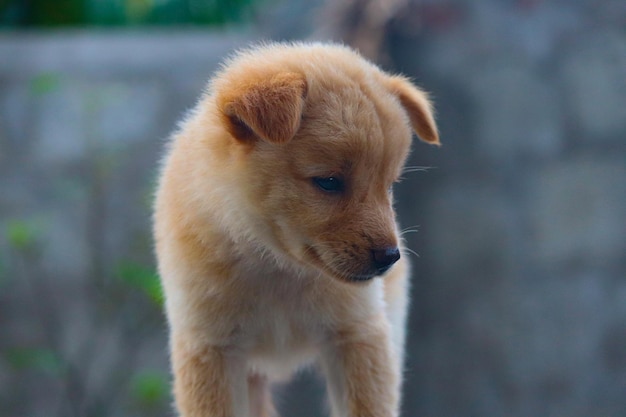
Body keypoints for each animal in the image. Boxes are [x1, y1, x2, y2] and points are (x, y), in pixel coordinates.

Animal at [154, 43, 438, 416]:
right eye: (329, 182)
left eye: (388, 185)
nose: (390, 257)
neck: (277, 268)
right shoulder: (210, 349)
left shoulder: (358, 336)